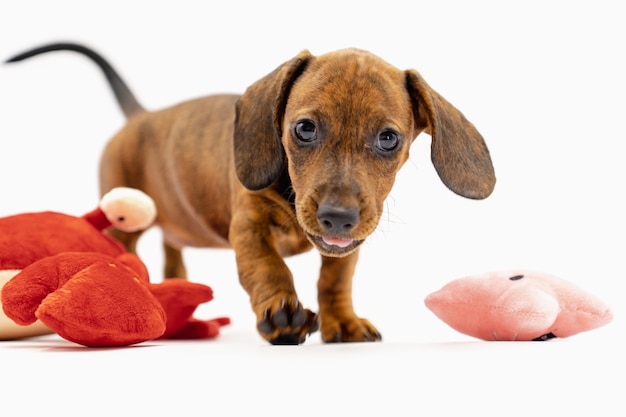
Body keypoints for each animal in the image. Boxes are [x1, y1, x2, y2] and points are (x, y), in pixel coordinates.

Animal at [6, 43, 492, 344]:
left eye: (389, 139)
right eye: (304, 128)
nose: (337, 216)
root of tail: (141, 116)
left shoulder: (347, 246)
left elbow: (334, 280)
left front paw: (343, 321)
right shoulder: (249, 227)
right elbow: (268, 268)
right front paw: (281, 313)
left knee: (172, 254)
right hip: (123, 217)